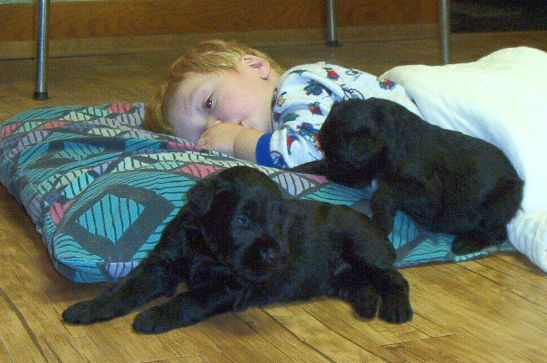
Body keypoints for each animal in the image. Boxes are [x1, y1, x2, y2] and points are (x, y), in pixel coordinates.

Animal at [62, 166, 414, 334]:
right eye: (243, 219)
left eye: (278, 222)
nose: (276, 255)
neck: (206, 248)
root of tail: (375, 226)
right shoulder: (162, 265)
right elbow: (124, 289)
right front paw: (88, 308)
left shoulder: (228, 285)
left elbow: (189, 298)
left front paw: (156, 316)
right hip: (341, 276)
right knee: (362, 285)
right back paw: (367, 305)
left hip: (364, 253)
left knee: (396, 280)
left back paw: (397, 310)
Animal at [294, 98, 524, 255]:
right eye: (327, 153)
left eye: (340, 159)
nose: (332, 171)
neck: (396, 142)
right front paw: (301, 167)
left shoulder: (430, 195)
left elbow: (385, 191)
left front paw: (381, 224)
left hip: (499, 204)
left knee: (498, 233)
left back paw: (466, 243)